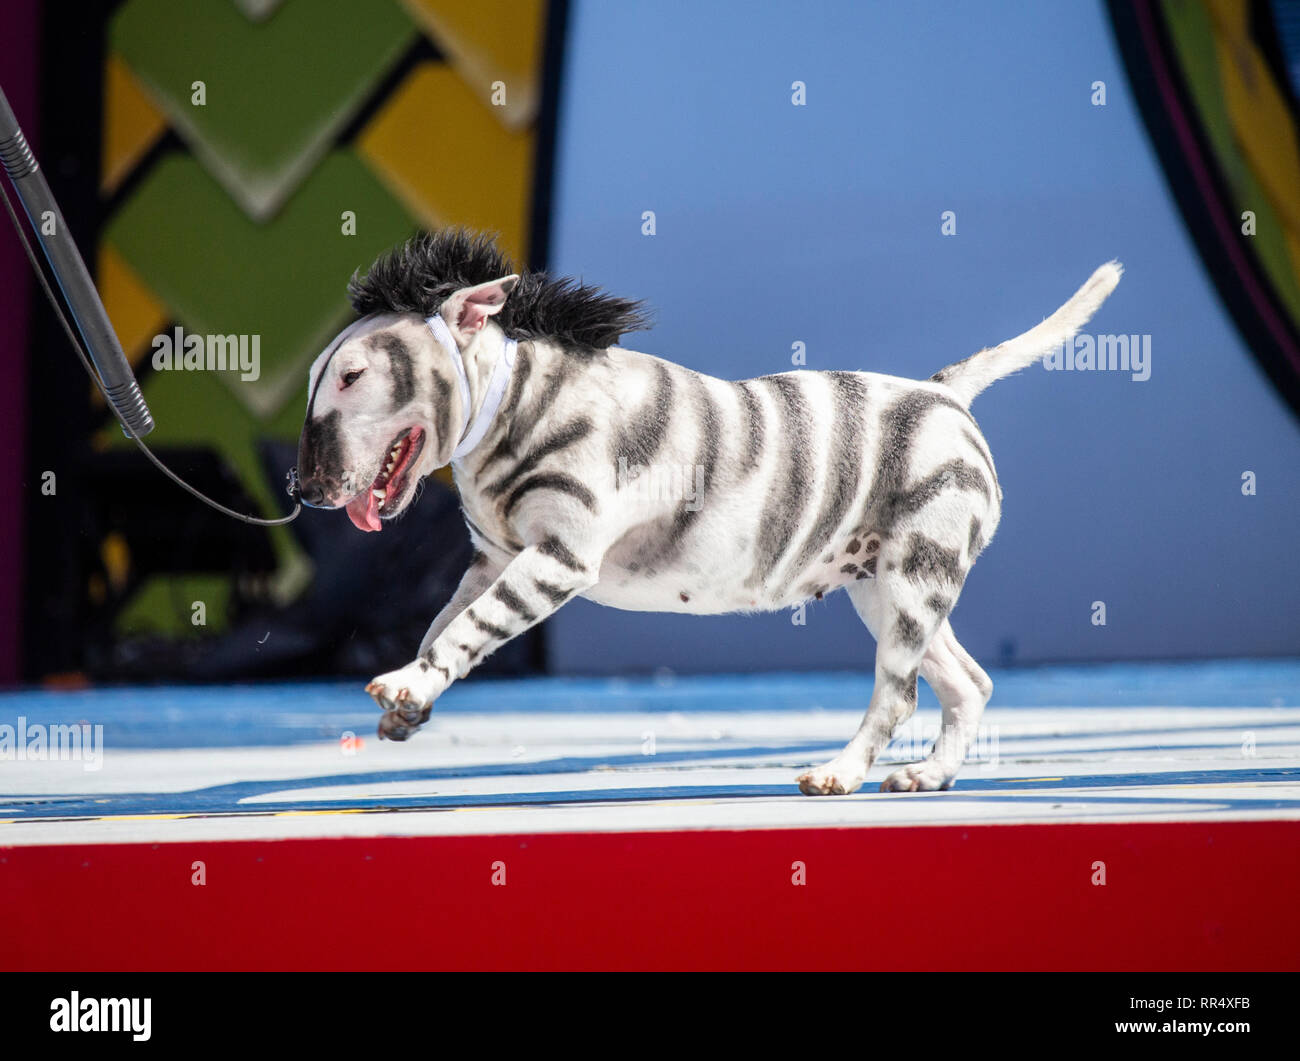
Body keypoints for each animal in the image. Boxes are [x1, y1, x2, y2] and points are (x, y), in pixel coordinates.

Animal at [299, 231, 1123, 795]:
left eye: (352, 376)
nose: (303, 490)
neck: (520, 405)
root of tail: (947, 393)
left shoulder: (557, 558)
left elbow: (470, 628)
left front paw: (407, 688)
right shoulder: (494, 558)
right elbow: (443, 627)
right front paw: (411, 702)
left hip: (916, 583)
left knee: (900, 694)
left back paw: (839, 773)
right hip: (884, 589)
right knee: (968, 683)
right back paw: (927, 777)